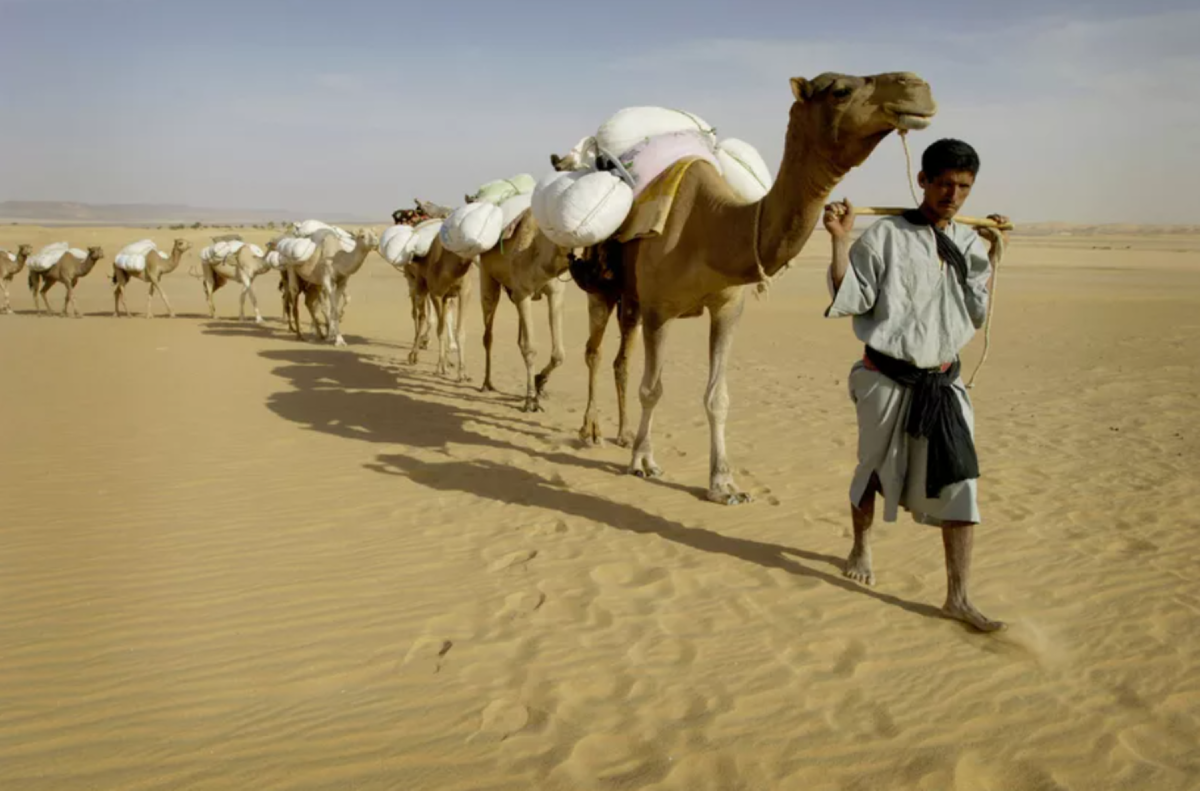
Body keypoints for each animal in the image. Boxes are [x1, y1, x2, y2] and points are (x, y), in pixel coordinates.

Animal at [408, 235, 472, 381]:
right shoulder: (436, 294)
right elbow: (439, 330)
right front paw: (440, 367)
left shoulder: (464, 292)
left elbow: (460, 330)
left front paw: (462, 373)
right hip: (418, 285)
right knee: (420, 315)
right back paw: (414, 355)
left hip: (444, 298)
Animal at [477, 210, 571, 415]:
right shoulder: (522, 293)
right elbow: (530, 348)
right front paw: (530, 400)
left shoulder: (556, 292)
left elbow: (558, 354)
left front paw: (540, 382)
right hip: (488, 278)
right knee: (488, 335)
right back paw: (487, 383)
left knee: (518, 339)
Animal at [561, 71, 936, 504]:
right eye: (841, 91)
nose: (916, 85)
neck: (710, 227)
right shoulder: (660, 309)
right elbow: (652, 388)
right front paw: (643, 461)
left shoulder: (726, 308)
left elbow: (717, 396)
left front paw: (724, 484)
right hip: (602, 289)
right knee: (594, 351)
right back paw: (591, 430)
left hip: (631, 298)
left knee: (621, 360)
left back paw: (622, 434)